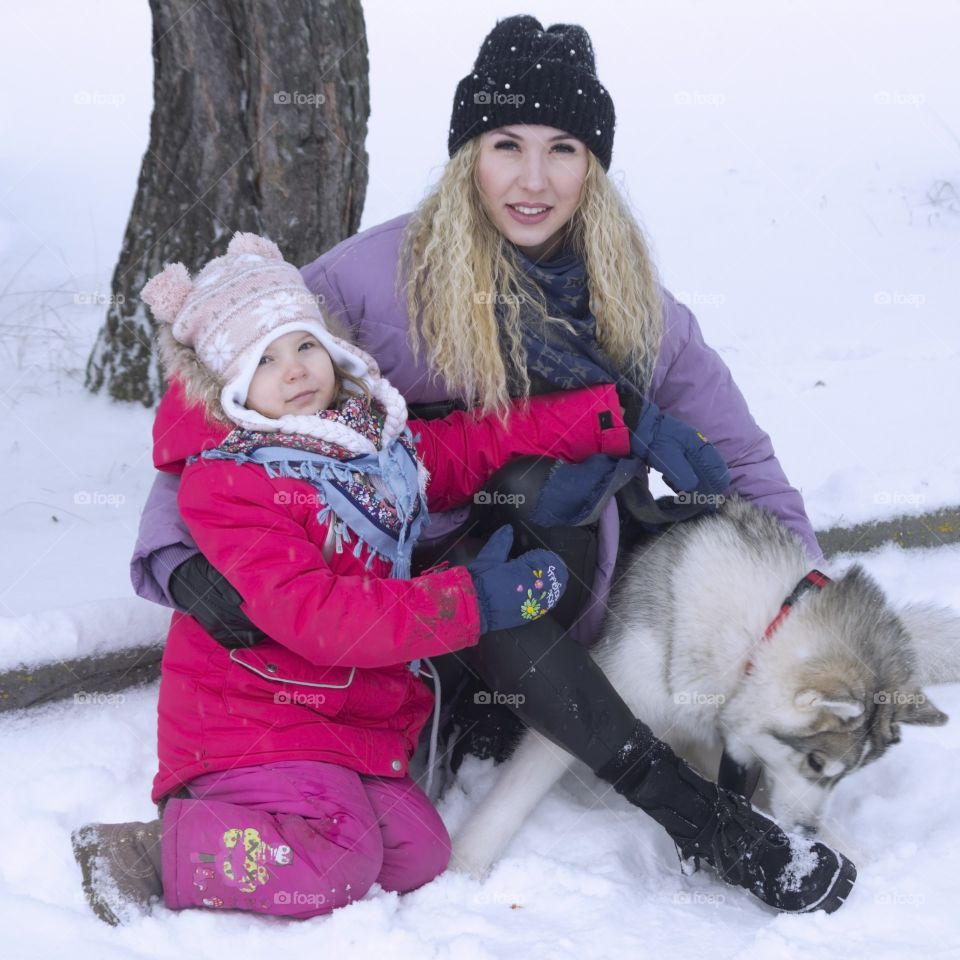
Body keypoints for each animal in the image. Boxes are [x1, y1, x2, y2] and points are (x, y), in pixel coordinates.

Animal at [452, 496, 960, 876]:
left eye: (846, 775)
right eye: (817, 761)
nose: (809, 831)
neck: (757, 635)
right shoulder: (604, 694)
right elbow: (518, 793)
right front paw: (466, 865)